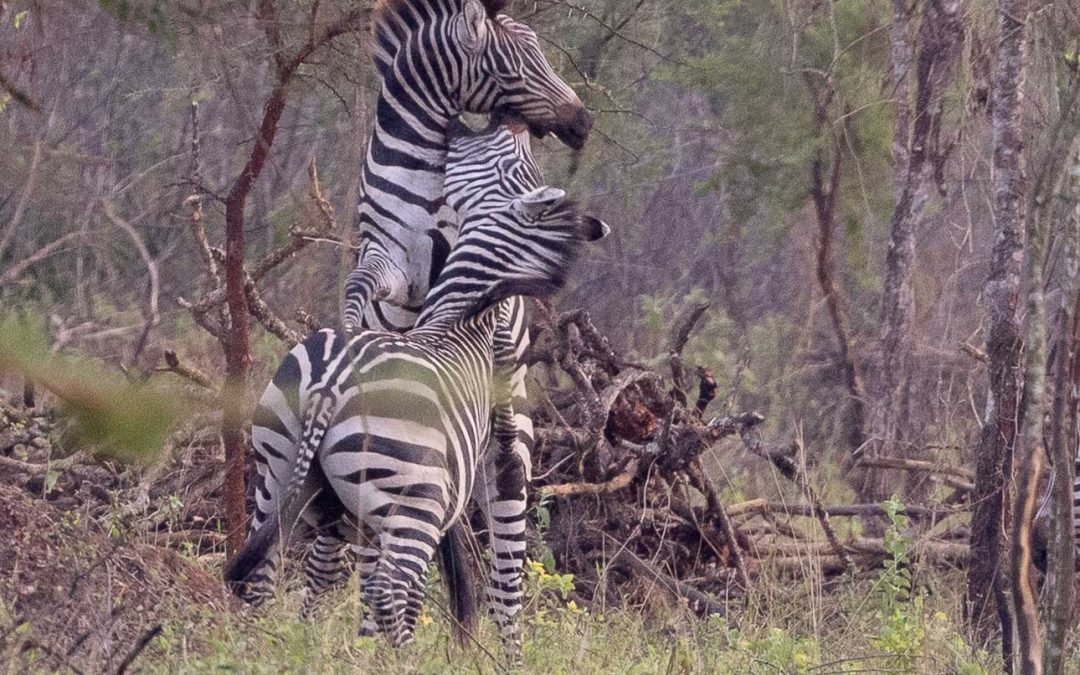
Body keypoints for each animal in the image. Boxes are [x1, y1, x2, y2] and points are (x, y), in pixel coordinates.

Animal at [226, 121, 608, 653]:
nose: (466, 129)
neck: (458, 316)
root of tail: (329, 385)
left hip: (303, 475)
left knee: (294, 578)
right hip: (382, 496)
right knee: (378, 586)